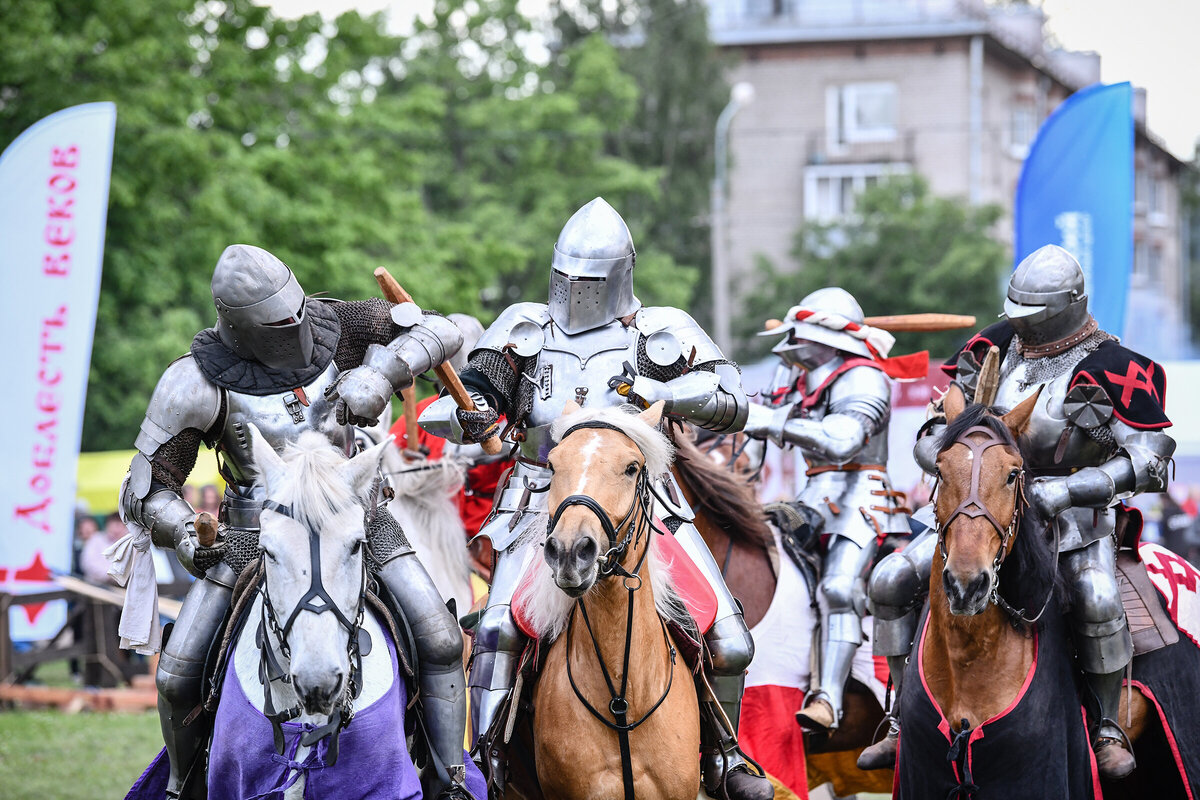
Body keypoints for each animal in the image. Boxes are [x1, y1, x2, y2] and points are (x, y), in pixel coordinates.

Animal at [902, 383, 1200, 796]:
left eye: (1013, 475)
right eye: (940, 470)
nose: (967, 584)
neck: (970, 656)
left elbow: (1144, 454)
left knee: (1098, 605)